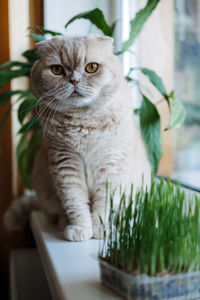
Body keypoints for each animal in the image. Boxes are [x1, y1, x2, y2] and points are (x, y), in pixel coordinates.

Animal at [3, 34, 150, 241]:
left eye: (91, 67)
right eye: (57, 70)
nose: (73, 80)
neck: (84, 122)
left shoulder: (111, 166)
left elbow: (104, 204)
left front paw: (100, 229)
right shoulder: (65, 165)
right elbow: (75, 202)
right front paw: (80, 229)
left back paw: (121, 224)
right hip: (46, 195)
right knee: (55, 214)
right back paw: (64, 222)